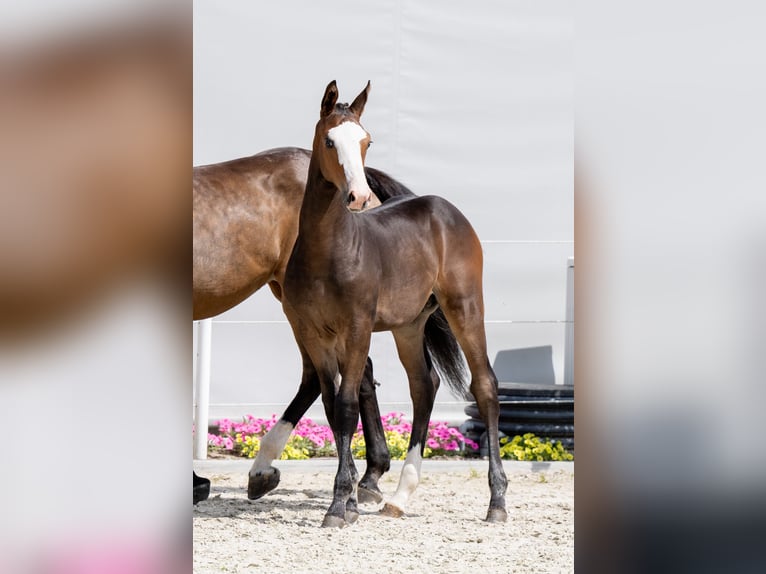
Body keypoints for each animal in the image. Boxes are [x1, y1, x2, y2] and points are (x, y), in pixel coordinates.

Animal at [284, 82, 510, 532]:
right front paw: (351, 501)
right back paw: (401, 497)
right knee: (424, 385)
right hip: (409, 325)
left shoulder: (357, 330)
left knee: (485, 386)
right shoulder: (314, 335)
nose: (358, 197)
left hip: (465, 307)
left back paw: (497, 501)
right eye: (330, 141)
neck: (327, 253)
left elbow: (348, 405)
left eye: (367, 141)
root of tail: (445, 209)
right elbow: (331, 407)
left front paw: (339, 506)